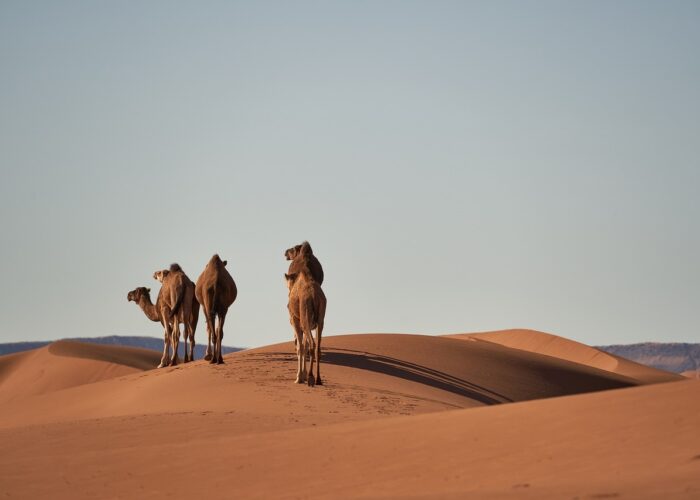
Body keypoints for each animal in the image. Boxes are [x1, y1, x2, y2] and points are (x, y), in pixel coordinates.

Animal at [284, 242, 326, 386]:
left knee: (312, 345)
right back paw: (318, 379)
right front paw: (302, 375)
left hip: (305, 317)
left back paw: (311, 378)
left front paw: (299, 377)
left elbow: (300, 347)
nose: (285, 252)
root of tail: (314, 296)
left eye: (292, 249)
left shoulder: (295, 320)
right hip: (321, 318)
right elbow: (304, 345)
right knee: (317, 346)